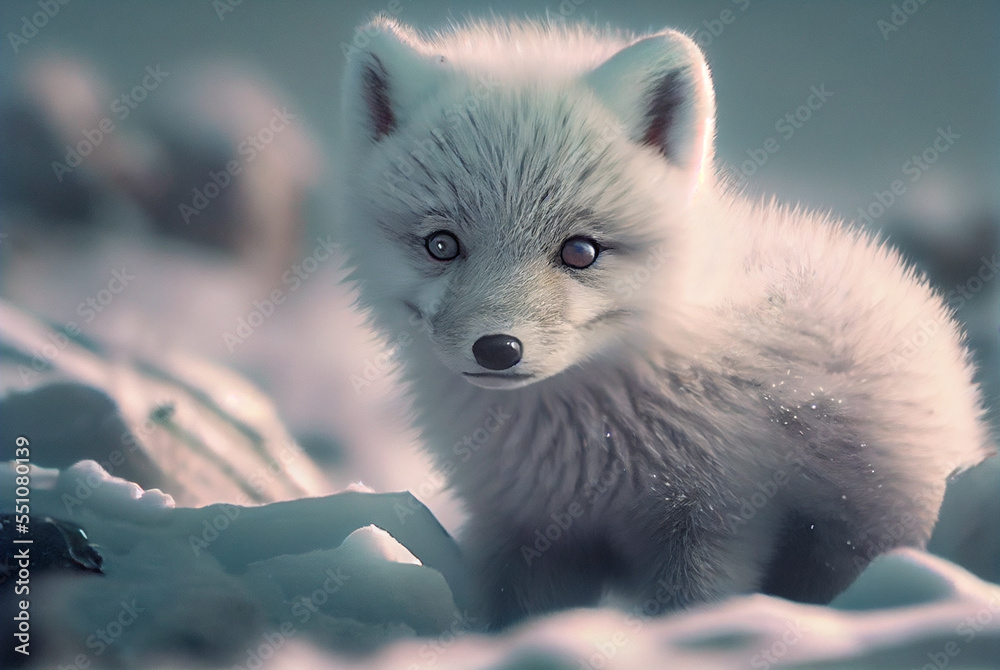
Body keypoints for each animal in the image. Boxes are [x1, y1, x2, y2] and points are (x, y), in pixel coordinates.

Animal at [337, 16, 991, 627]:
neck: (581, 452)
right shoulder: (526, 531)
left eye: (581, 251)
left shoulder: (713, 524)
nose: (497, 349)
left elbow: (688, 610)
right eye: (441, 245)